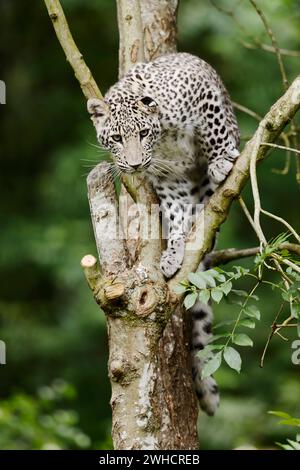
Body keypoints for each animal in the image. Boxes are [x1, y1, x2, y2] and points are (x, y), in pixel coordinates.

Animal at [86, 53, 239, 416]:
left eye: (143, 133)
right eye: (116, 138)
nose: (134, 164)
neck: (163, 135)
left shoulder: (201, 87)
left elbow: (215, 128)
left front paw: (222, 158)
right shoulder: (169, 180)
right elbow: (175, 214)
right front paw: (171, 255)